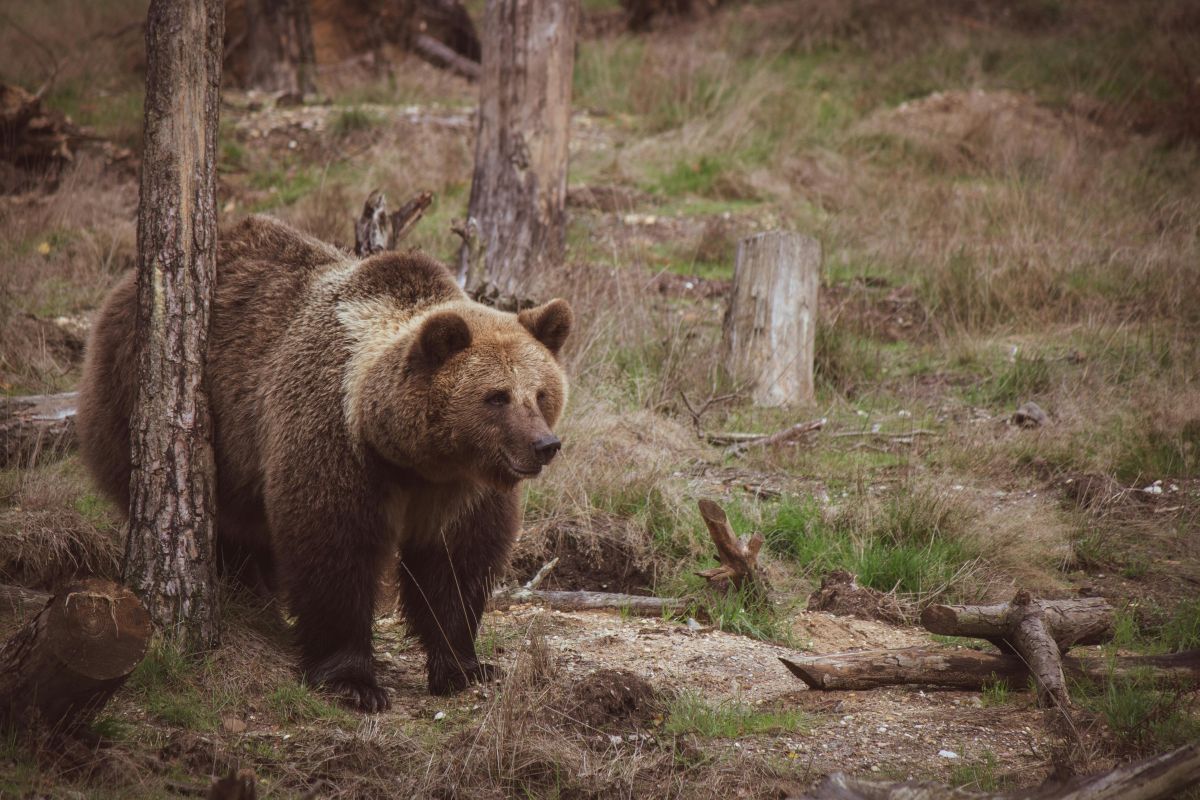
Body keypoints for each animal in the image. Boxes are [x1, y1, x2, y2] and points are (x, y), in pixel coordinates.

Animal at [75, 215, 571, 711]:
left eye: (541, 393)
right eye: (497, 396)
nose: (544, 444)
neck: (410, 456)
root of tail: (123, 289)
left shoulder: (459, 488)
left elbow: (455, 563)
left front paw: (465, 666)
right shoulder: (334, 440)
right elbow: (333, 549)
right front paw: (353, 681)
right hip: (146, 401)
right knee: (226, 525)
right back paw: (246, 593)